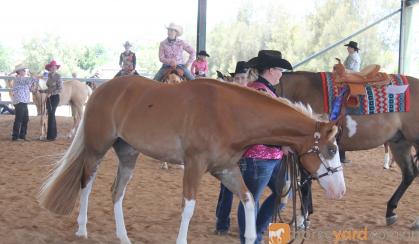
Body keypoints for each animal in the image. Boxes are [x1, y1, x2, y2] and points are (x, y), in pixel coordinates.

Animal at [39, 76, 346, 244]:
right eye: (331, 150)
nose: (340, 191)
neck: (230, 114)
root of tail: (99, 90)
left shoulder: (227, 170)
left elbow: (249, 200)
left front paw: (249, 236)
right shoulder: (194, 166)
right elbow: (188, 208)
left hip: (127, 153)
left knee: (116, 192)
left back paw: (124, 237)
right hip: (96, 148)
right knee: (86, 184)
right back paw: (82, 229)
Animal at [280, 70, 419, 227]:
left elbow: (305, 185)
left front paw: (302, 218)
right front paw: (306, 215)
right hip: (400, 143)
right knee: (409, 174)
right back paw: (390, 211)